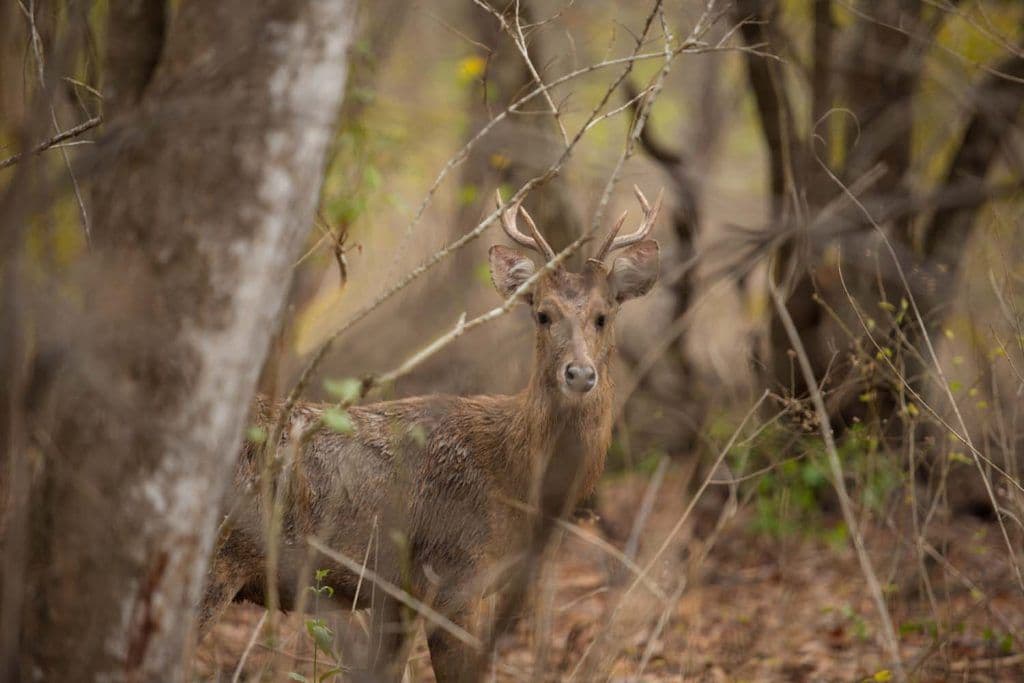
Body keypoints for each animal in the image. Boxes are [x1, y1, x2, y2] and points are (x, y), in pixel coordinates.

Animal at [198, 187, 663, 682]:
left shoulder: (396, 596)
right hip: (215, 567)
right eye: (542, 314)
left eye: (603, 315)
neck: (512, 475)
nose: (579, 373)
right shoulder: (454, 577)